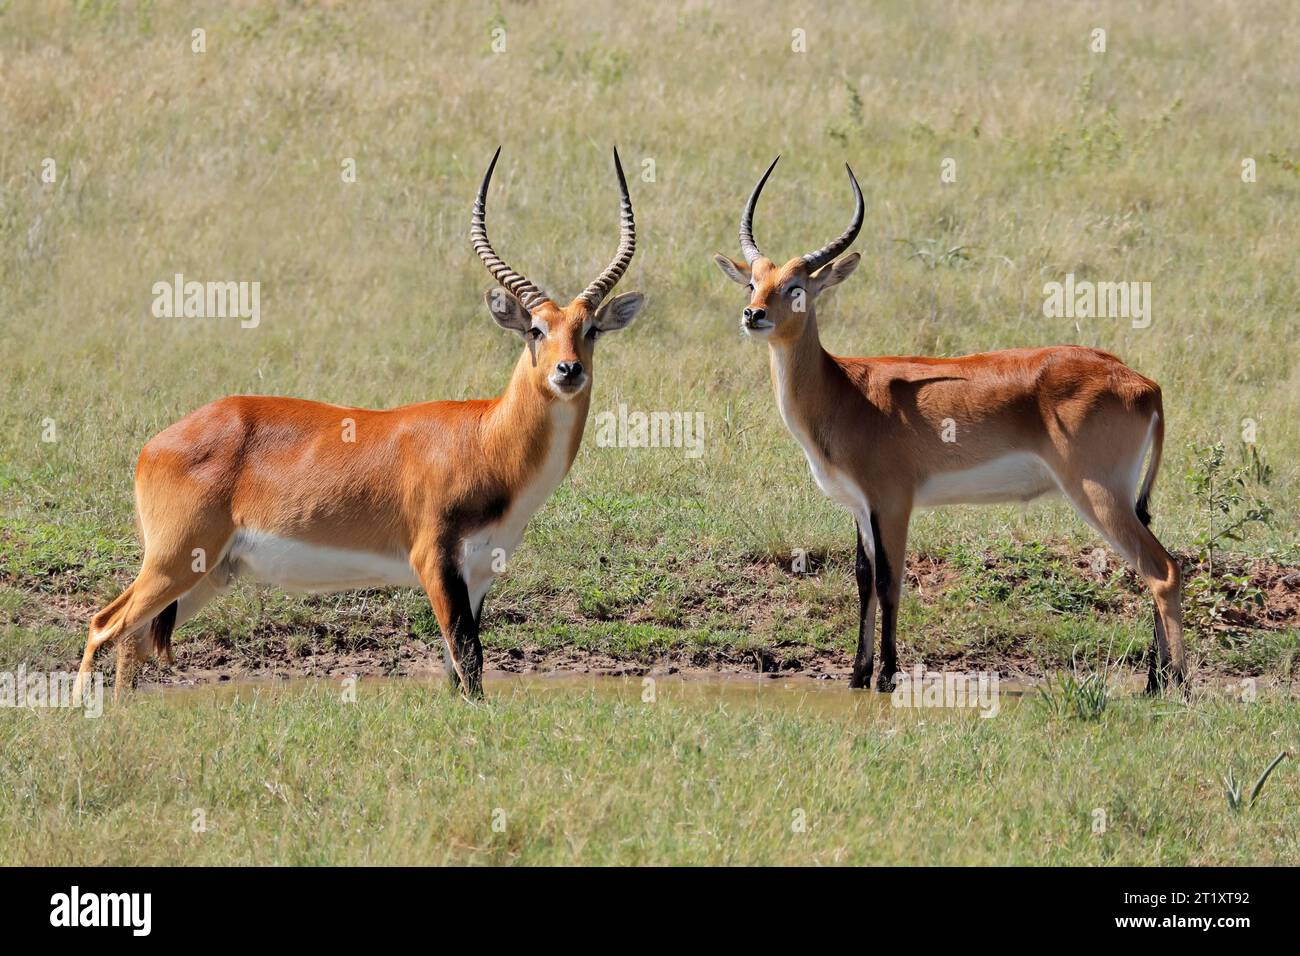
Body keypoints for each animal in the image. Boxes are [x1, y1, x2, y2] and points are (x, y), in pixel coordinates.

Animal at [72, 151, 644, 702]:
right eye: (535, 329)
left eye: (590, 329)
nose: (568, 370)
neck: (485, 439)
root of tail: (156, 444)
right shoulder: (434, 562)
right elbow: (469, 659)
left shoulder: (479, 575)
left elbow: (462, 674)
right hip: (174, 561)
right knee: (104, 624)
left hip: (208, 573)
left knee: (133, 642)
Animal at [717, 158, 1185, 697]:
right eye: (752, 283)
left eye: (797, 288)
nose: (753, 315)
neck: (844, 391)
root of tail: (1143, 383)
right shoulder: (859, 507)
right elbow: (863, 578)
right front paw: (857, 675)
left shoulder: (893, 502)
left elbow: (890, 581)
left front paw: (887, 676)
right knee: (1151, 569)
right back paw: (1153, 682)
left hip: (1097, 493)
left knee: (1163, 570)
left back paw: (1178, 686)